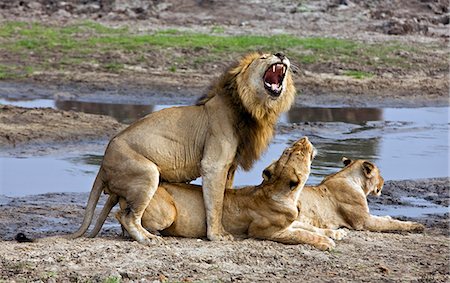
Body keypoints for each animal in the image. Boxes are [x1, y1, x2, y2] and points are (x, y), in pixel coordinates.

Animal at [70, 53, 296, 244]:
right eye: (263, 57)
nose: (281, 54)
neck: (252, 109)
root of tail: (103, 164)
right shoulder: (214, 164)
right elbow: (215, 203)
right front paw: (217, 235)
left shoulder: (230, 167)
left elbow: (224, 198)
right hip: (146, 173)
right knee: (127, 216)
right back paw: (148, 238)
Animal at [88, 138, 342, 251]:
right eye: (294, 151)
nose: (305, 139)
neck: (285, 193)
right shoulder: (267, 232)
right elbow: (303, 234)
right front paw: (326, 243)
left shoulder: (291, 222)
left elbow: (308, 226)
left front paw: (335, 233)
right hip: (166, 210)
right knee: (124, 215)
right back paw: (149, 235)